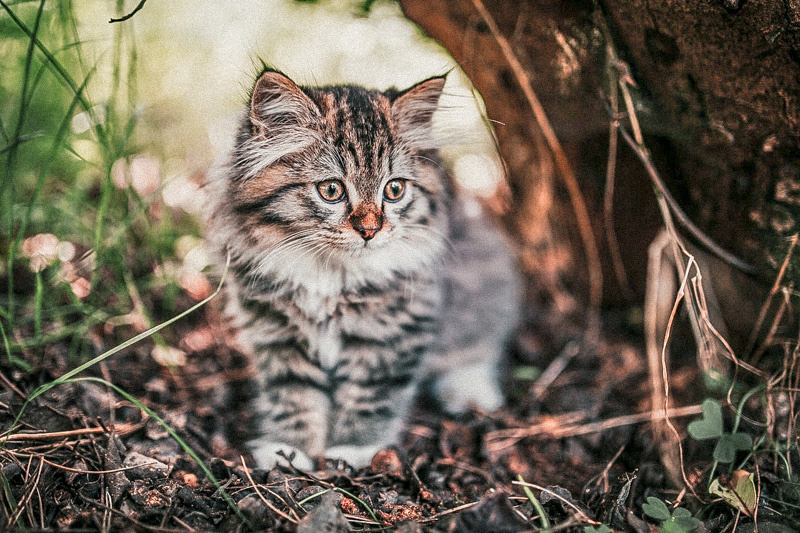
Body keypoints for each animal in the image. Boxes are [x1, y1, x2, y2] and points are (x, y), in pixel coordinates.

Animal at [206, 68, 520, 468]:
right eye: (331, 190)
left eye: (395, 190)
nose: (370, 230)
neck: (331, 277)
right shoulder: (276, 335)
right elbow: (292, 396)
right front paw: (290, 451)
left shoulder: (392, 336)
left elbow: (368, 397)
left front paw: (352, 449)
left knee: (480, 345)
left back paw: (470, 391)